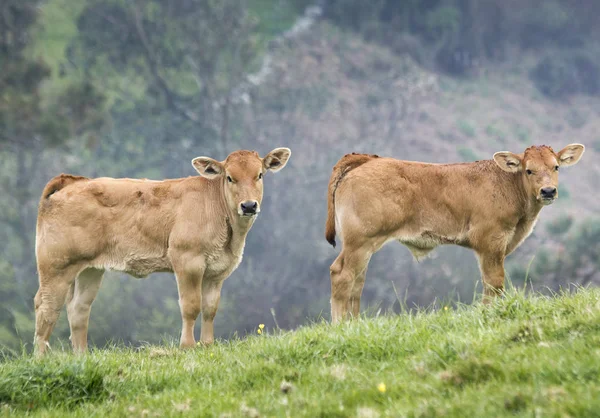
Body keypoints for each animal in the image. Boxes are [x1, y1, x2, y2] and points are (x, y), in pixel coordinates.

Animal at [34, 149, 292, 354]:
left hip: (90, 269)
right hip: (56, 267)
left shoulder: (217, 271)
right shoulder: (187, 260)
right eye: (230, 178)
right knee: (46, 308)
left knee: (78, 309)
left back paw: (82, 357)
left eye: (259, 175)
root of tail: (74, 181)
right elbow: (190, 306)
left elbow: (210, 309)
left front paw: (208, 345)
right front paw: (187, 346)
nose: (248, 206)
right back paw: (41, 360)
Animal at [326, 145, 584, 324]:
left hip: (364, 246)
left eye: (556, 167)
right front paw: (490, 315)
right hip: (359, 241)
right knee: (342, 274)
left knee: (358, 281)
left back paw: (355, 324)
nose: (548, 191)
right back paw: (341, 327)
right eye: (529, 170)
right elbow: (494, 282)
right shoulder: (490, 241)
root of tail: (367, 159)